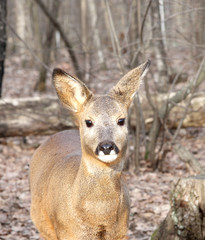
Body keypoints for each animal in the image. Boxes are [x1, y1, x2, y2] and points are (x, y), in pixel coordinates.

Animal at [29, 59, 151, 239]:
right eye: (88, 121)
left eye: (121, 120)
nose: (106, 146)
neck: (99, 216)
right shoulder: (68, 233)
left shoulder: (122, 233)